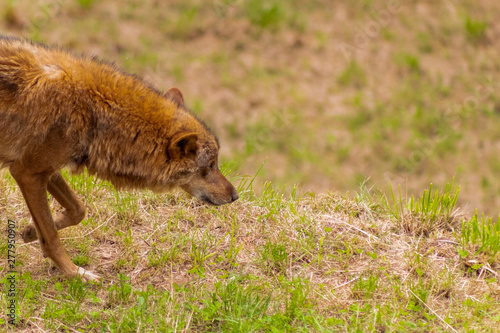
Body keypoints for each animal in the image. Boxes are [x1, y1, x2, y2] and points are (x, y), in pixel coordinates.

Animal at [0, 36, 238, 280]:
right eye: (210, 166)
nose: (235, 195)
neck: (93, 109)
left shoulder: (46, 170)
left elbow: (78, 210)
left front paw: (30, 232)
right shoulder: (27, 172)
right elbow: (52, 237)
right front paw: (75, 273)